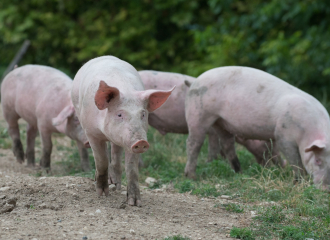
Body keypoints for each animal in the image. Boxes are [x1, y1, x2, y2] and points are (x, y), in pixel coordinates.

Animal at [71, 56, 175, 206]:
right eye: (119, 114)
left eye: (143, 114)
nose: (141, 141)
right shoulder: (91, 133)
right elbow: (101, 160)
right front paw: (102, 194)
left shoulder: (129, 143)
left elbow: (131, 169)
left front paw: (135, 203)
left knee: (115, 154)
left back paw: (116, 185)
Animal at [184, 66, 330, 190]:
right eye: (317, 160)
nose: (325, 189)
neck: (307, 132)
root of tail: (195, 81)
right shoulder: (283, 135)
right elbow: (295, 161)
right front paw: (298, 183)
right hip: (198, 114)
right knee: (193, 143)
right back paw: (191, 176)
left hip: (221, 123)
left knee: (227, 145)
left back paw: (239, 172)